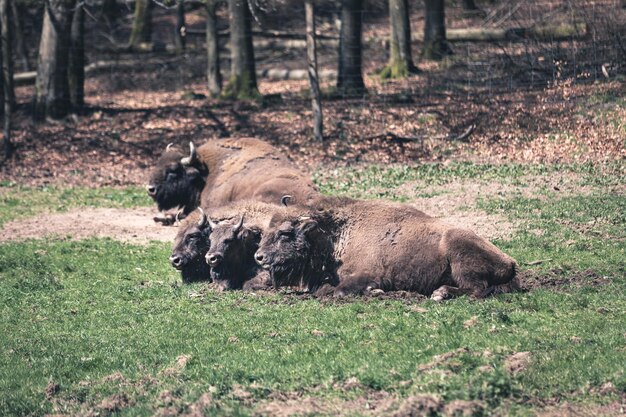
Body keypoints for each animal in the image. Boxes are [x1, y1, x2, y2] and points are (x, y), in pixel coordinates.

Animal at [254, 198, 516, 300]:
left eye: (285, 233)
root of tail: (510, 261)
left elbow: (339, 291)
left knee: (476, 289)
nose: (259, 256)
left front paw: (377, 291)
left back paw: (440, 294)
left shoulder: (367, 274)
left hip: (460, 256)